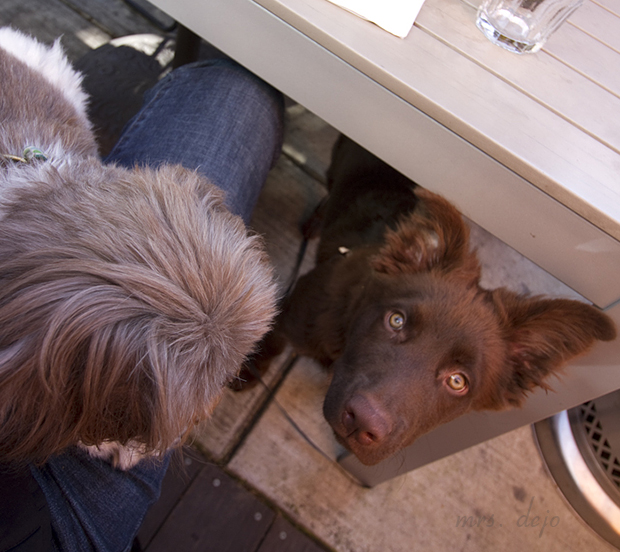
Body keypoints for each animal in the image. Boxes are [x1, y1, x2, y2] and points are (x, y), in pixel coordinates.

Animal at [245, 134, 616, 466]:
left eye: (457, 381)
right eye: (396, 320)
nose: (364, 421)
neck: (345, 336)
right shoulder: (296, 310)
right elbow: (273, 340)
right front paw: (251, 370)